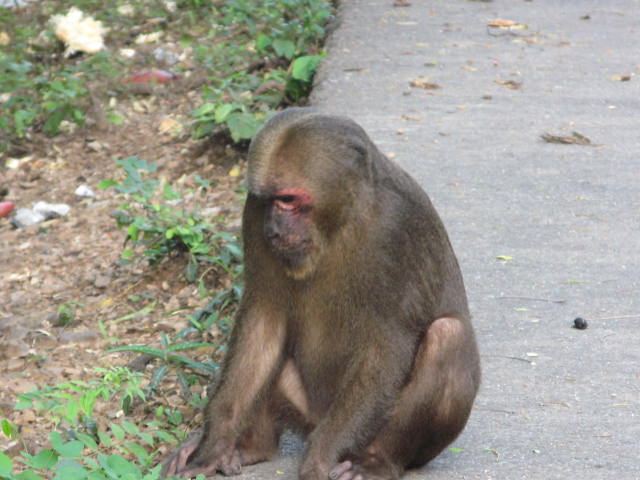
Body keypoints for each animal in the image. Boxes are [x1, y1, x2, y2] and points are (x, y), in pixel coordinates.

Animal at [162, 109, 482, 480]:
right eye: (268, 199)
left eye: (288, 200)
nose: (274, 228)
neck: (339, 223)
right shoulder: (252, 216)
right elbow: (263, 322)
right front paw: (211, 447)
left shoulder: (397, 226)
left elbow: (389, 344)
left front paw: (320, 458)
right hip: (307, 413)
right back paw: (254, 446)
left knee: (448, 335)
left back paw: (379, 461)